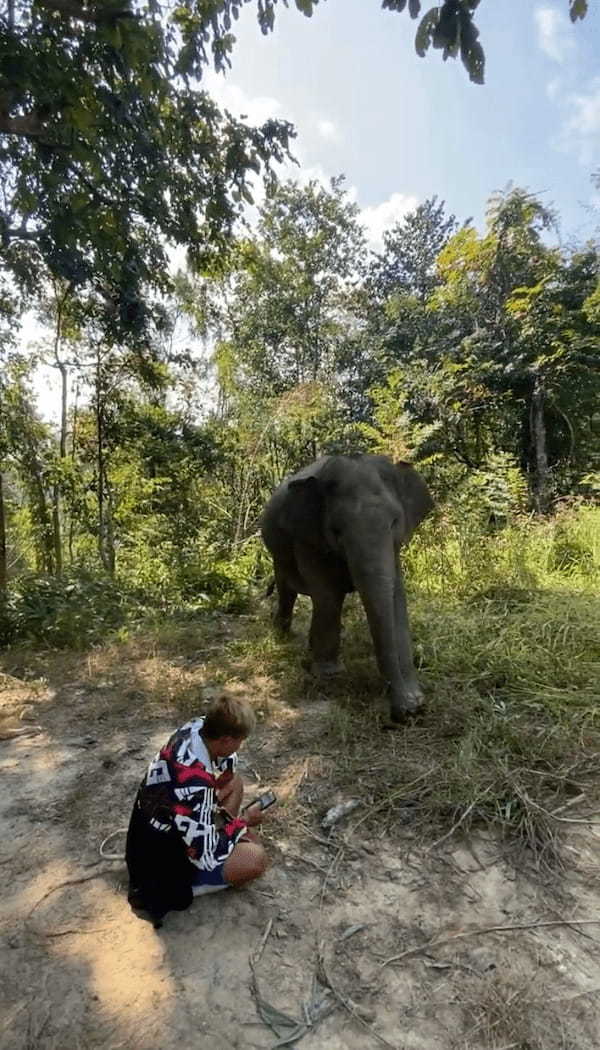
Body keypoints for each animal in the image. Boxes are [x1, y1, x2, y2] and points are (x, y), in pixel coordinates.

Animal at [260, 451, 435, 722]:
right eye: (336, 530)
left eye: (394, 522)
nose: (406, 712)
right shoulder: (308, 537)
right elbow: (328, 596)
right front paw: (330, 675)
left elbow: (396, 597)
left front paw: (414, 698)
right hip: (278, 552)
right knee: (287, 590)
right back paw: (282, 636)